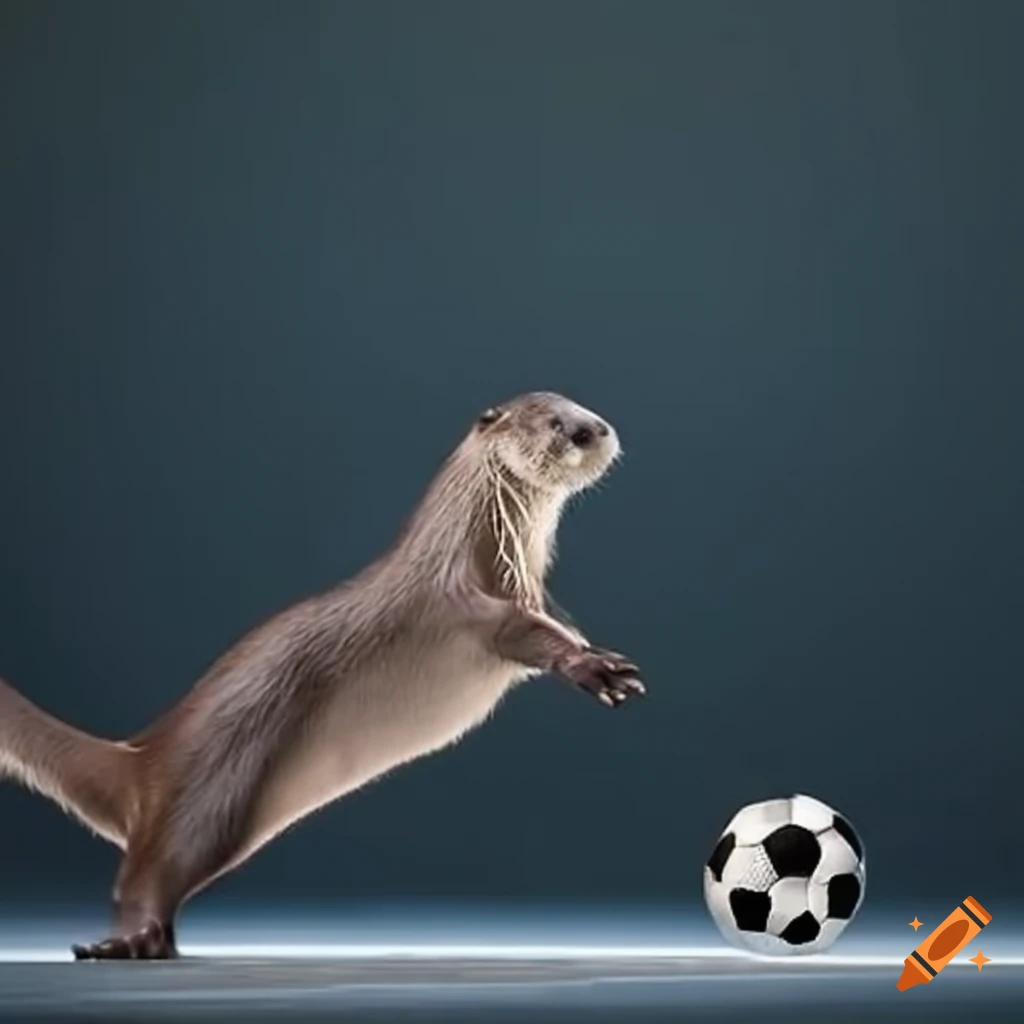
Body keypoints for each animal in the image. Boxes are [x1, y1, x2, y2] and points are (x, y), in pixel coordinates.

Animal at [0, 391, 645, 960]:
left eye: (583, 410)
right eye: (556, 423)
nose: (594, 431)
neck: (478, 546)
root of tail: (140, 758)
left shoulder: (530, 588)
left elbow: (556, 621)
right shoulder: (462, 604)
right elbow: (525, 635)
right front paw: (594, 667)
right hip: (208, 803)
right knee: (143, 877)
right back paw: (130, 943)